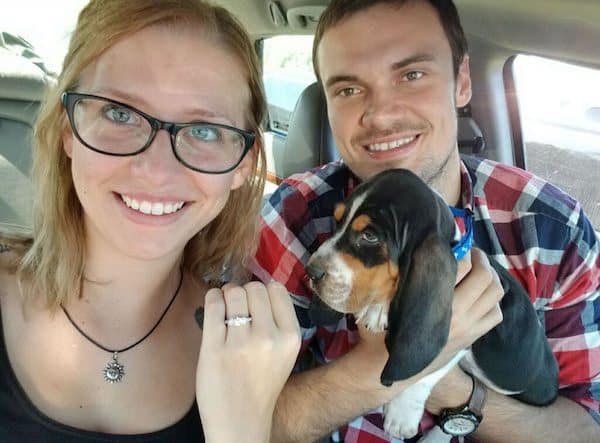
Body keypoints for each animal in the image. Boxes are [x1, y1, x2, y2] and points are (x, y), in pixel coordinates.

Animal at [308, 169, 560, 440]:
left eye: (369, 236)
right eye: (336, 222)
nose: (310, 272)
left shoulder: (468, 335)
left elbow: (427, 372)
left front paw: (401, 415)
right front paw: (377, 309)